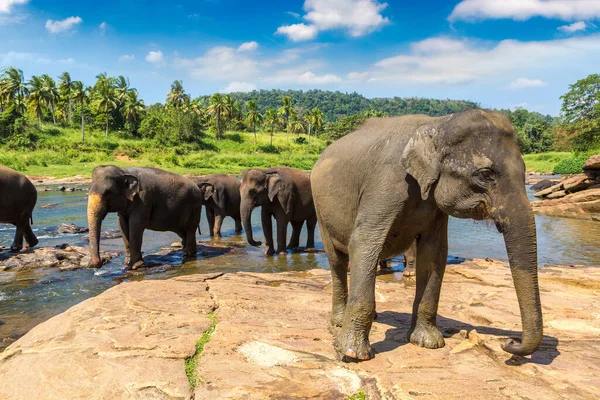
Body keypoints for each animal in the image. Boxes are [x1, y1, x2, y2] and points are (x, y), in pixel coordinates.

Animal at [310, 110, 544, 362]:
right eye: (485, 174)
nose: (509, 342)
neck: (437, 123)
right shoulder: (384, 182)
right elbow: (364, 243)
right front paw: (354, 354)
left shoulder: (436, 207)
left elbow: (435, 252)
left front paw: (428, 342)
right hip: (320, 209)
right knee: (337, 261)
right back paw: (338, 322)